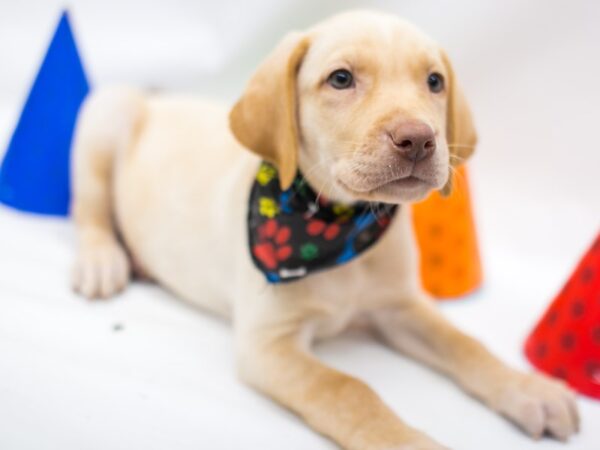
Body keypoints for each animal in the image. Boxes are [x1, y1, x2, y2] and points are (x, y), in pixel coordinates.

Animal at [71, 8, 580, 448]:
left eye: (434, 81)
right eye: (341, 79)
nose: (418, 139)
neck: (341, 226)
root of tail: (160, 95)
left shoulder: (400, 305)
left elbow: (464, 342)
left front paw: (529, 390)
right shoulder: (267, 344)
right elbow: (346, 390)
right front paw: (407, 443)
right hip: (107, 112)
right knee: (89, 205)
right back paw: (102, 260)